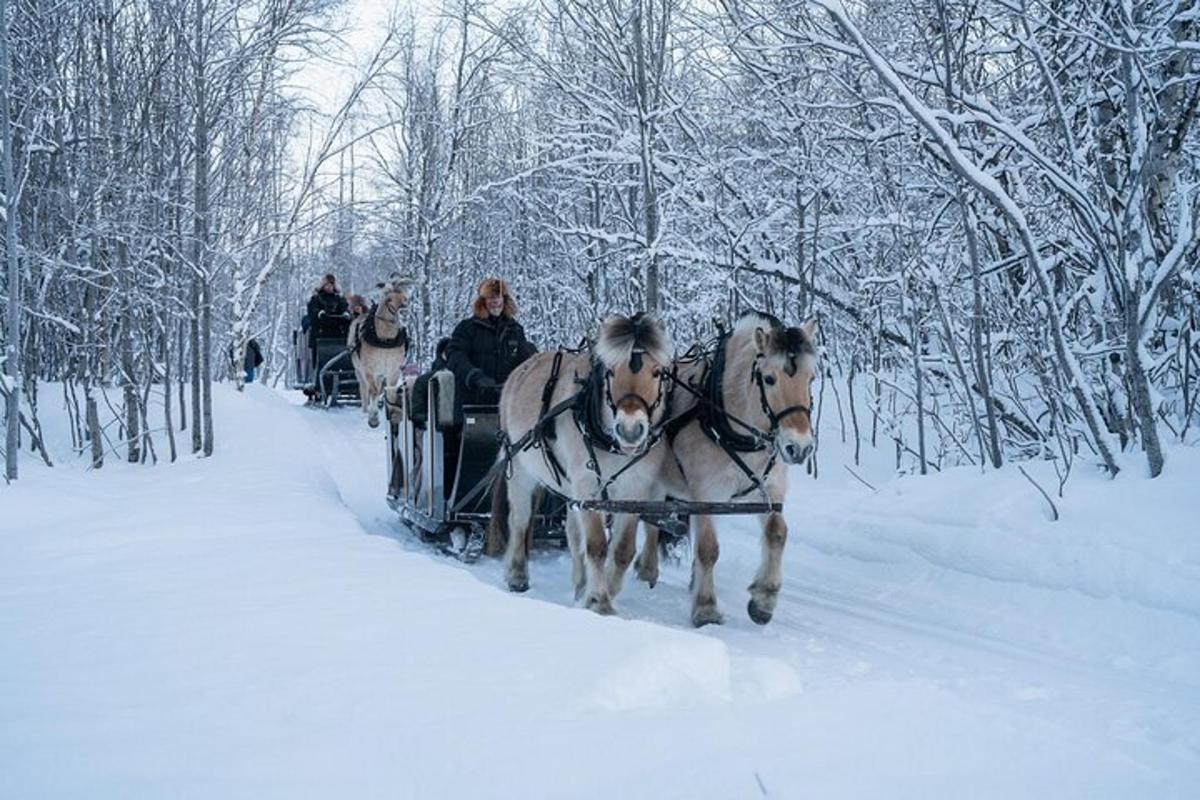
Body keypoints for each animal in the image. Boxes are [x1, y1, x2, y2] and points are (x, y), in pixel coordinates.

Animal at [350, 275, 410, 429]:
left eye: (405, 297)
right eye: (388, 299)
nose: (404, 313)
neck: (385, 340)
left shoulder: (393, 369)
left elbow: (389, 393)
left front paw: (392, 416)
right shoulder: (369, 369)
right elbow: (373, 391)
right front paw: (373, 419)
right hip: (359, 370)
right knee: (364, 388)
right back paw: (366, 410)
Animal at [487, 311, 676, 614]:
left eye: (657, 372)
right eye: (610, 371)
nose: (630, 430)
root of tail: (519, 370)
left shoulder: (633, 490)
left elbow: (622, 550)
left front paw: (603, 590)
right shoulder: (588, 487)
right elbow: (597, 545)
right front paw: (599, 600)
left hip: (568, 486)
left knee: (573, 534)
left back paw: (579, 584)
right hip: (520, 469)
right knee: (519, 519)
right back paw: (517, 575)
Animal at [628, 309, 816, 628]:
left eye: (811, 378)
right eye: (769, 378)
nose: (799, 447)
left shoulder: (769, 489)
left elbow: (777, 533)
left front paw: (763, 600)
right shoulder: (707, 492)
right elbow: (708, 548)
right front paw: (705, 609)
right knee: (651, 521)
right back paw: (647, 571)